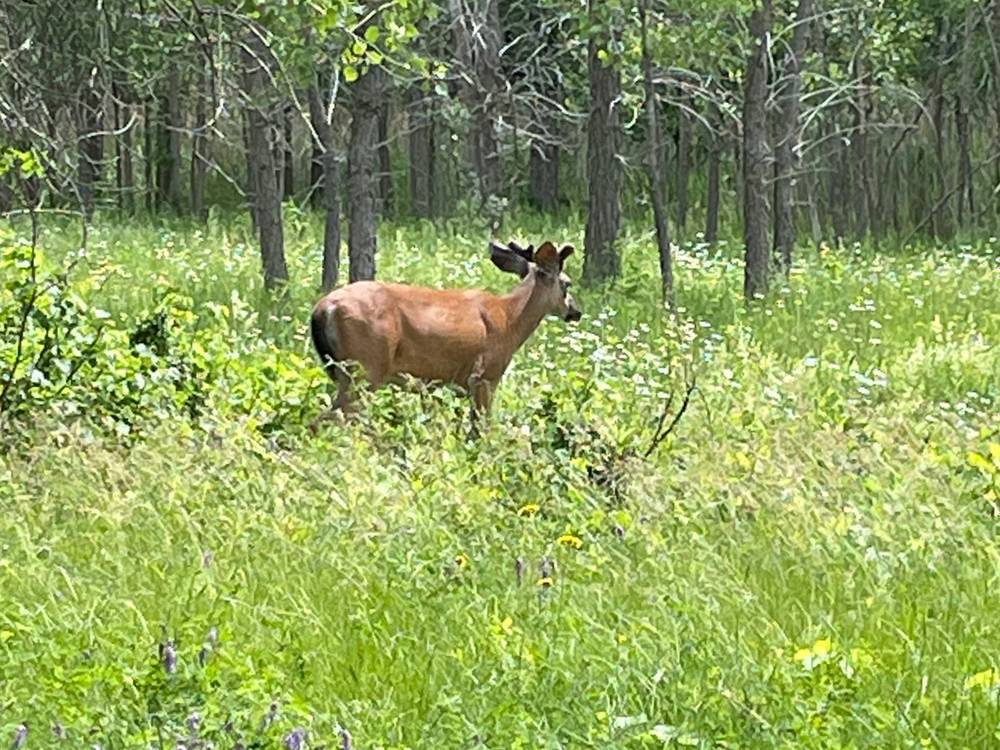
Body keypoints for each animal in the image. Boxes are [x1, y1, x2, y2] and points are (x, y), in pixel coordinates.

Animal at [308, 241, 584, 434]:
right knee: (333, 419)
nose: (576, 311)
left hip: (346, 372)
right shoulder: (486, 376)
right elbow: (482, 428)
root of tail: (323, 308)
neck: (510, 320)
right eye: (567, 284)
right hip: (365, 367)